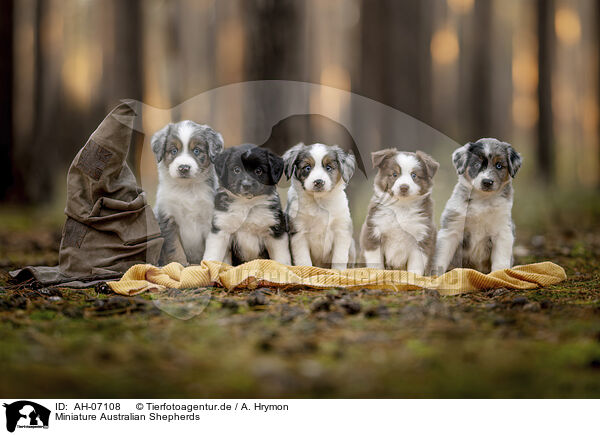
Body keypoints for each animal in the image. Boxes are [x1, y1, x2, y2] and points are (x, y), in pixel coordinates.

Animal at [151, 121, 224, 268]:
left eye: (196, 150)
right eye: (174, 151)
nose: (183, 168)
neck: (187, 189)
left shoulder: (209, 219)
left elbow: (212, 247)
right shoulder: (168, 218)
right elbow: (174, 247)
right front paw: (180, 264)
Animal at [434, 138, 524, 274]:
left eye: (499, 165)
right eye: (477, 164)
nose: (487, 182)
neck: (482, 200)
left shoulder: (503, 231)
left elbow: (500, 259)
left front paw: (499, 275)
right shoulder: (451, 229)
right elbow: (441, 257)